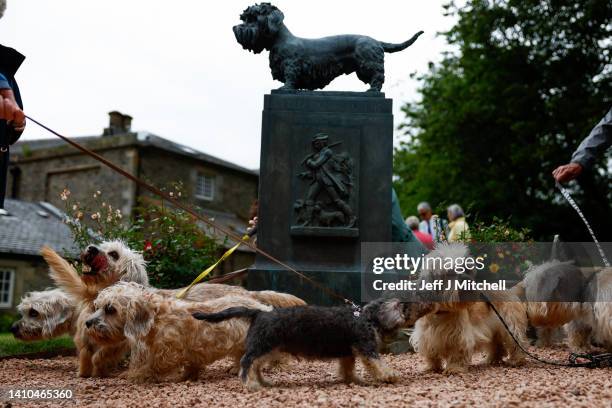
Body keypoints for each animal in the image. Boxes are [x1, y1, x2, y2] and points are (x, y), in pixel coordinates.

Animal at [85, 280, 272, 382]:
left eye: (110, 309)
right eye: (97, 306)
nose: (88, 323)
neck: (158, 318)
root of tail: (260, 306)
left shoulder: (168, 353)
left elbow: (152, 366)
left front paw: (136, 375)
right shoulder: (193, 351)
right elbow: (192, 365)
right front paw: (187, 376)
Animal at [192, 298, 436, 390]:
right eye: (406, 305)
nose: (427, 303)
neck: (367, 317)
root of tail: (259, 313)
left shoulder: (348, 353)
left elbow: (347, 368)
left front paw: (352, 380)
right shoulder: (367, 349)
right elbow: (378, 364)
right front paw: (389, 375)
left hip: (270, 349)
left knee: (256, 365)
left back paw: (262, 382)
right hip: (262, 347)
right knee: (246, 362)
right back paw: (251, 384)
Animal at [232, 1, 424, 91]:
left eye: (253, 18)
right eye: (245, 18)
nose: (235, 28)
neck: (279, 40)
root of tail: (377, 41)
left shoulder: (291, 65)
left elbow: (290, 77)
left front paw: (285, 88)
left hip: (368, 62)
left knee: (378, 76)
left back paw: (372, 91)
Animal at [408, 244, 528, 374]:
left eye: (467, 270)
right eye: (450, 272)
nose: (466, 279)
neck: (441, 312)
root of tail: (510, 291)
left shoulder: (459, 337)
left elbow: (457, 353)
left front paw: (454, 368)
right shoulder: (425, 338)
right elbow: (431, 355)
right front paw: (431, 367)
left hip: (510, 327)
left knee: (518, 343)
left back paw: (517, 360)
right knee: (497, 346)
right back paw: (492, 360)